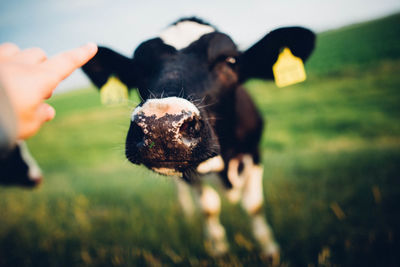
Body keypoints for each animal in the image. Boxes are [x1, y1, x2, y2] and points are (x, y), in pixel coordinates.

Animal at [82, 17, 316, 264]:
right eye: (139, 68)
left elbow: (254, 206)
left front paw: (270, 250)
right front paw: (219, 250)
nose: (161, 127)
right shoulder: (190, 173)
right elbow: (208, 208)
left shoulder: (254, 152)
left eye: (229, 61)